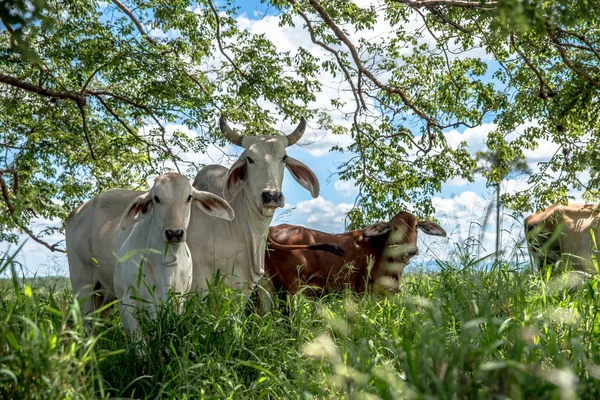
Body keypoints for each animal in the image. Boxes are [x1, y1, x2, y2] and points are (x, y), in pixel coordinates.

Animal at [67, 172, 233, 318]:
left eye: (189, 197)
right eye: (156, 198)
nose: (174, 233)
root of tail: (76, 211)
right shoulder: (128, 302)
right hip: (82, 286)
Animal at [260, 211, 448, 308]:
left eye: (416, 226)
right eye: (395, 227)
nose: (410, 250)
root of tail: (272, 229)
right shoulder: (362, 292)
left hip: (267, 286)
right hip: (289, 289)